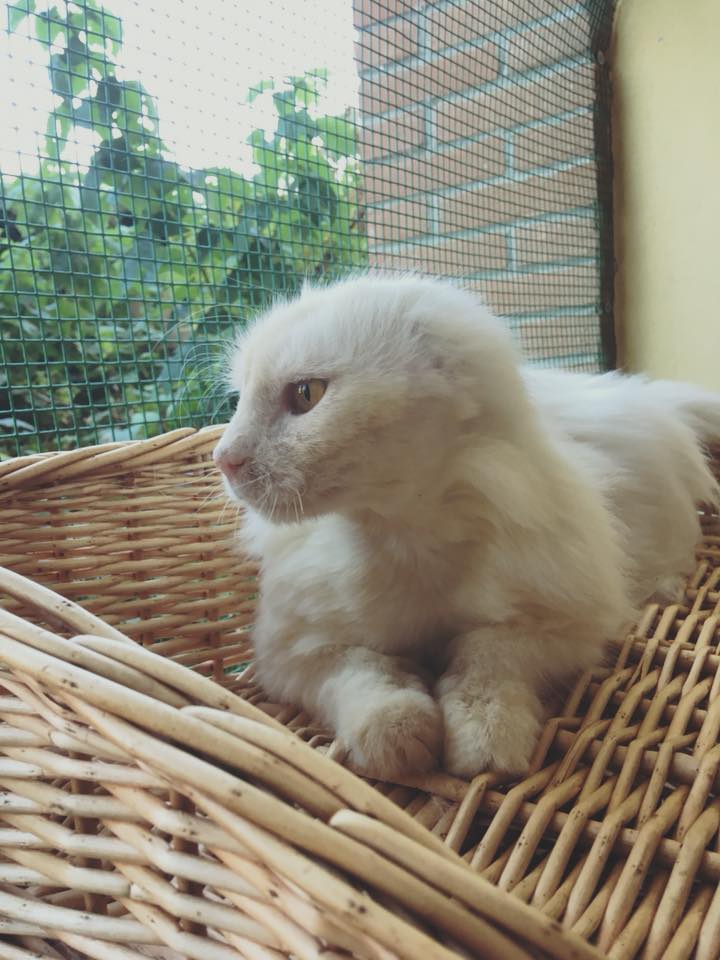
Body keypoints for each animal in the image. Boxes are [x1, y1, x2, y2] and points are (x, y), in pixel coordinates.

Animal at [214, 272, 720, 780]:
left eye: (306, 394)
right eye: (238, 402)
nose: (223, 459)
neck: (407, 540)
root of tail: (643, 392)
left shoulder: (566, 627)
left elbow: (483, 656)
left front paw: (486, 738)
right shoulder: (293, 654)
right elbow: (364, 675)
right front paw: (398, 734)